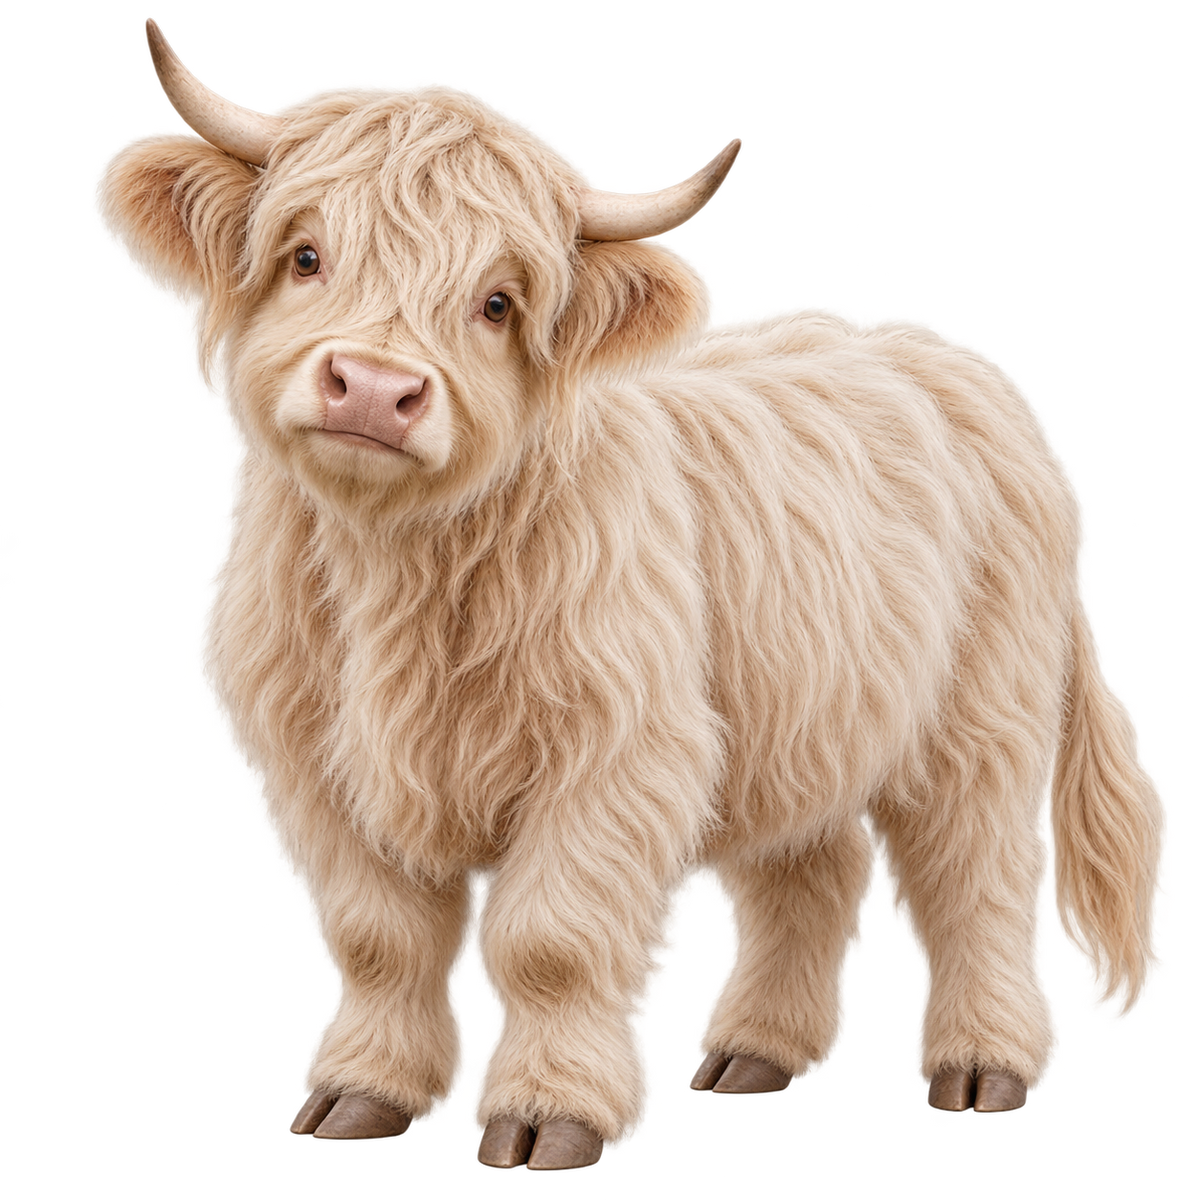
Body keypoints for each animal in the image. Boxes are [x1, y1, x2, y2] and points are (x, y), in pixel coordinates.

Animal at [90, 16, 1170, 1173]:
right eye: (305, 255)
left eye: (498, 303)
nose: (376, 390)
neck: (401, 575)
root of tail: (954, 361)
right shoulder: (311, 759)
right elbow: (379, 937)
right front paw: (362, 1096)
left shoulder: (614, 752)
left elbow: (552, 940)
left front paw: (547, 1116)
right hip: (801, 714)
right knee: (811, 871)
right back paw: (757, 1056)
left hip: (981, 713)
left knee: (979, 877)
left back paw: (984, 1068)